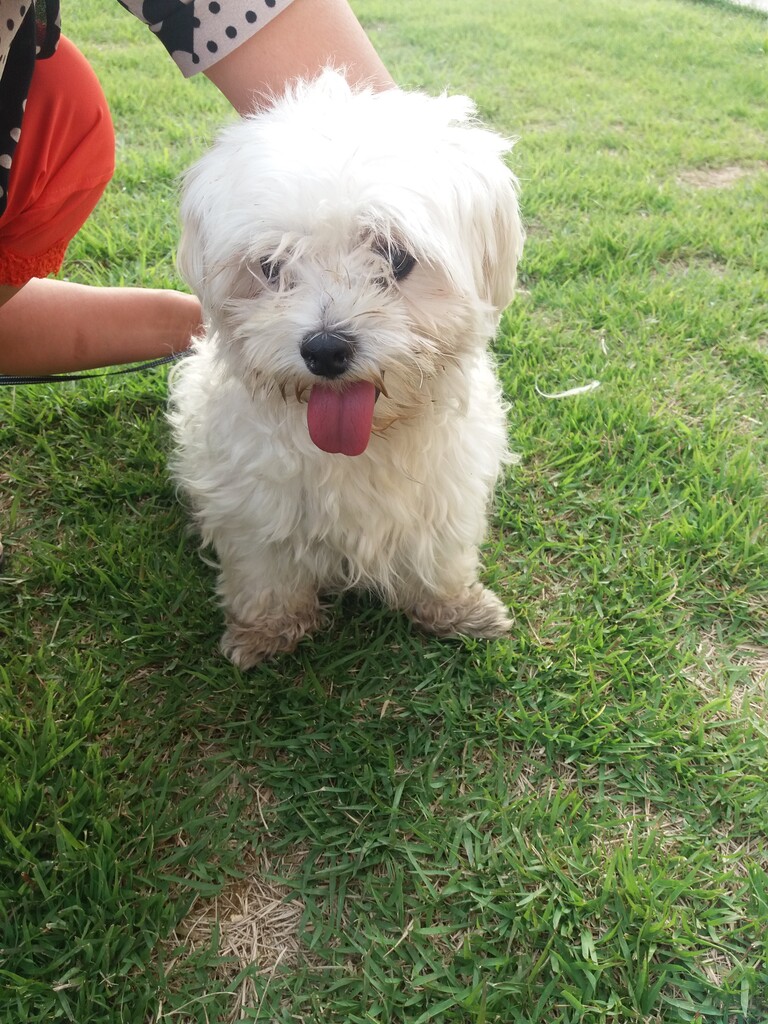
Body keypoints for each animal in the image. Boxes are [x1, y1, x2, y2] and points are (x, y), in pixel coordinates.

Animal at [168, 69, 524, 669]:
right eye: (271, 267)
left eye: (396, 257)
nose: (325, 348)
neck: (364, 446)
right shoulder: (254, 506)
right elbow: (265, 573)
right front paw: (267, 631)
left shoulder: (445, 491)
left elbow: (441, 556)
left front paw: (454, 608)